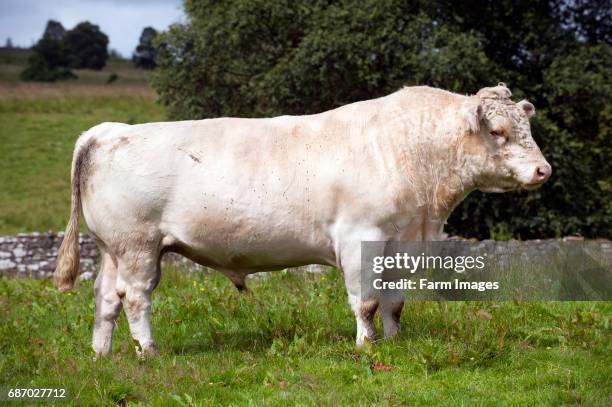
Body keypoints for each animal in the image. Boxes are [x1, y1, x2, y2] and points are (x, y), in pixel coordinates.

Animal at [53, 83, 548, 356]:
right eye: (498, 131)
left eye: (528, 128)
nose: (544, 170)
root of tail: (108, 130)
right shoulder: (359, 237)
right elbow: (366, 302)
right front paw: (366, 347)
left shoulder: (400, 242)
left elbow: (393, 302)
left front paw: (393, 343)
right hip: (138, 245)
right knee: (135, 298)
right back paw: (149, 352)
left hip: (114, 247)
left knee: (106, 298)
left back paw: (102, 355)